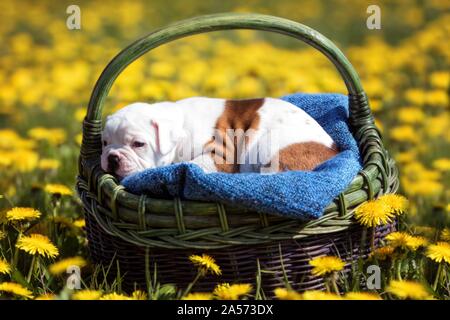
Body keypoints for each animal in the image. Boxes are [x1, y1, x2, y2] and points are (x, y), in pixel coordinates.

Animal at [100, 97, 336, 178]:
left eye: (138, 144)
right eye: (104, 143)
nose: (112, 157)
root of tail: (334, 152)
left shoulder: (220, 155)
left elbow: (194, 163)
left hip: (271, 148)